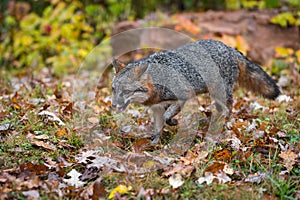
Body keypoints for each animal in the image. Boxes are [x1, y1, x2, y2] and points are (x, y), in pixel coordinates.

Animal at [111, 39, 280, 144]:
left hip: (220, 93)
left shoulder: (183, 96)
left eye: (126, 91)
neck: (158, 81)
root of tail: (230, 48)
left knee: (229, 107)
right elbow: (158, 126)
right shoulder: (157, 108)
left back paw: (222, 124)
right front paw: (154, 143)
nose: (113, 105)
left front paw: (173, 122)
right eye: (113, 89)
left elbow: (167, 116)